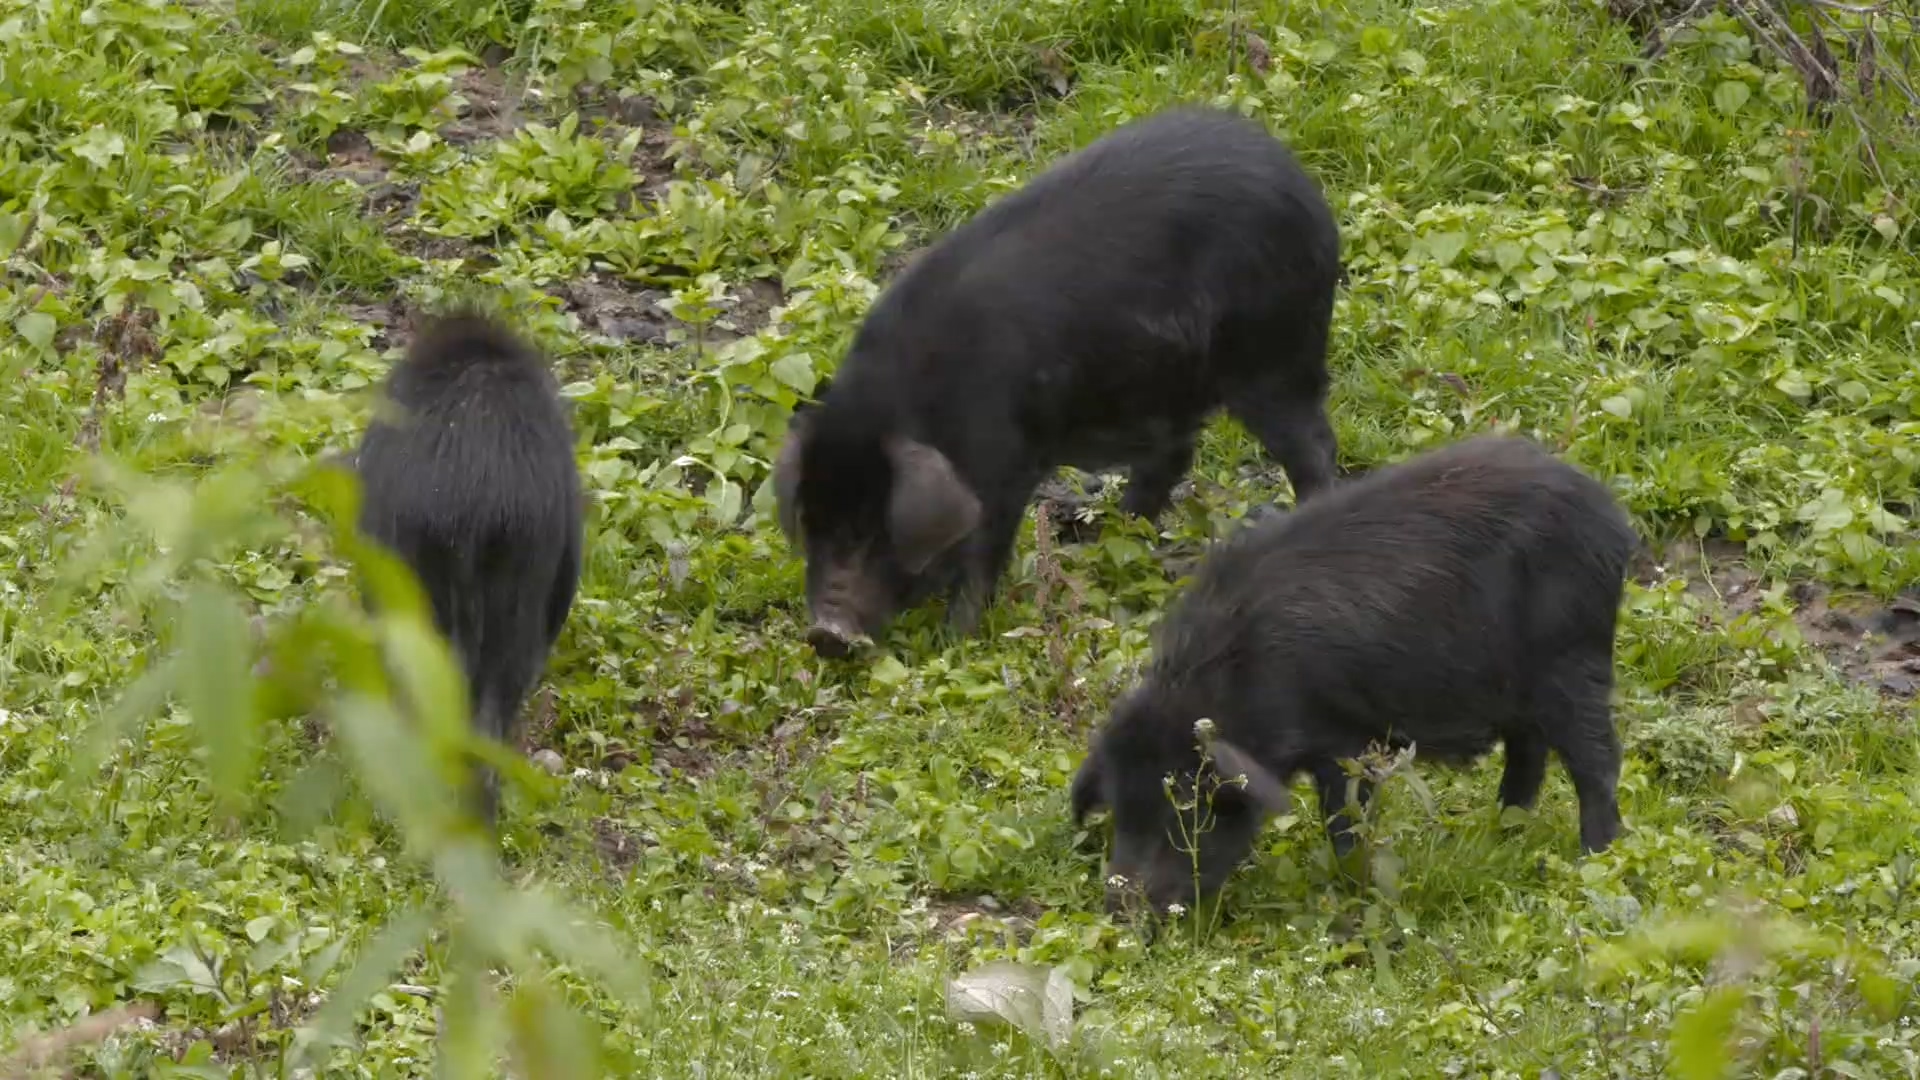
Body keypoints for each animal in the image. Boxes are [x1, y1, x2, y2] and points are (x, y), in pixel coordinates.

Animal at [771, 102, 1344, 657]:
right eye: (812, 526)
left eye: (873, 534)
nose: (825, 632)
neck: (922, 404)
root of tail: (1304, 189)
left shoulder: (1005, 465)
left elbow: (982, 553)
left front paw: (955, 643)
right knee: (1173, 457)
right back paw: (1103, 537)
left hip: (1274, 354)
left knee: (1313, 447)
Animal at [1067, 432, 1635, 910]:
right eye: (1120, 810)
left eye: (1185, 804)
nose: (1119, 909)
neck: (1239, 678)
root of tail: (1614, 523)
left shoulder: (1345, 736)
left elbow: (1346, 816)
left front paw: (1352, 884)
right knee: (1529, 754)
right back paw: (1499, 834)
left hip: (1572, 656)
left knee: (1597, 760)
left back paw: (1596, 857)